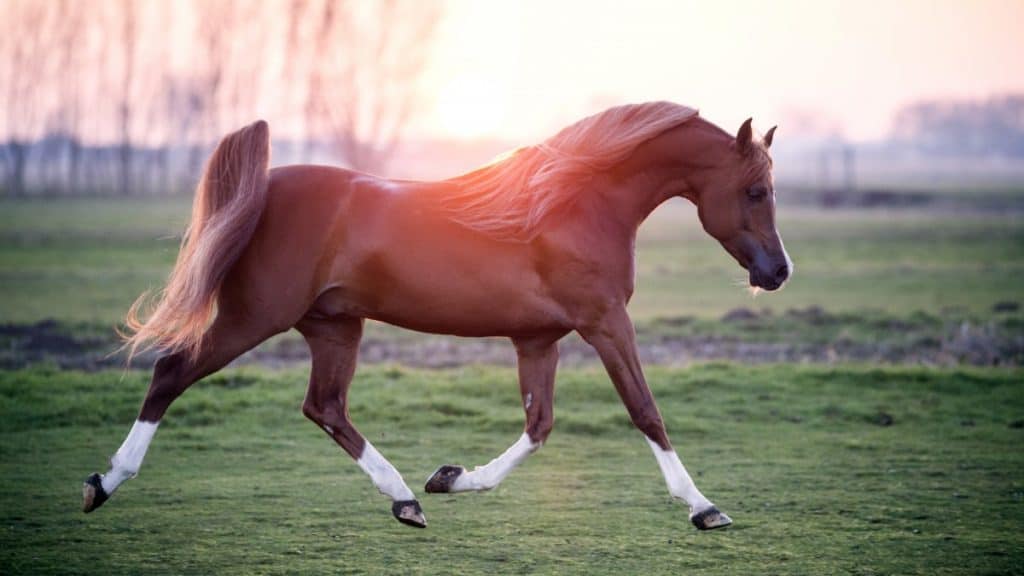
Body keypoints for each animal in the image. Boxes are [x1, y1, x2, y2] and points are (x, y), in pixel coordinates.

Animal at [83, 101, 794, 528]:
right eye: (755, 190)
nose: (779, 272)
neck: (576, 204)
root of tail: (266, 187)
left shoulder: (539, 339)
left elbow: (539, 425)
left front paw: (450, 479)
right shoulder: (605, 324)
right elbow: (646, 411)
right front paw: (704, 507)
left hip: (334, 326)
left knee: (325, 407)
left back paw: (404, 500)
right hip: (254, 316)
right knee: (172, 373)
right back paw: (104, 482)